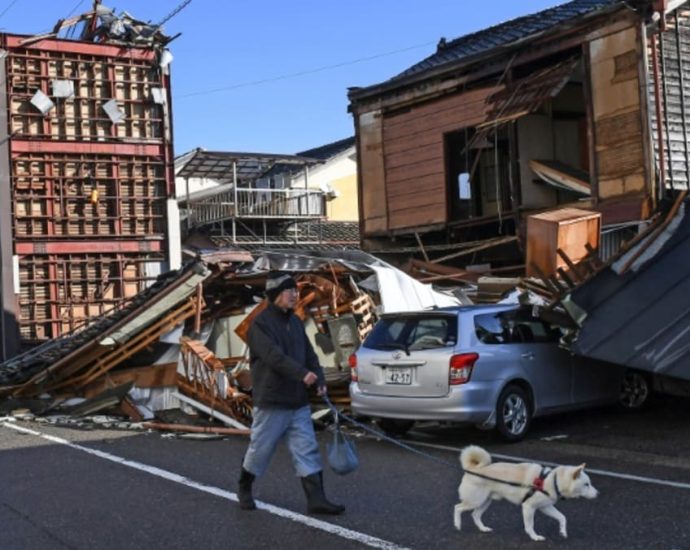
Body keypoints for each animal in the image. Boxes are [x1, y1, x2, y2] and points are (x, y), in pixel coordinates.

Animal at [452, 446, 596, 540]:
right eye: (586, 484)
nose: (597, 494)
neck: (553, 480)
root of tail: (472, 469)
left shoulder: (546, 507)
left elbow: (562, 517)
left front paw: (562, 532)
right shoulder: (528, 507)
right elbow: (530, 525)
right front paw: (535, 537)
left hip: (485, 502)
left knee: (475, 515)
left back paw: (483, 528)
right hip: (475, 501)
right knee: (457, 507)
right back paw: (457, 524)